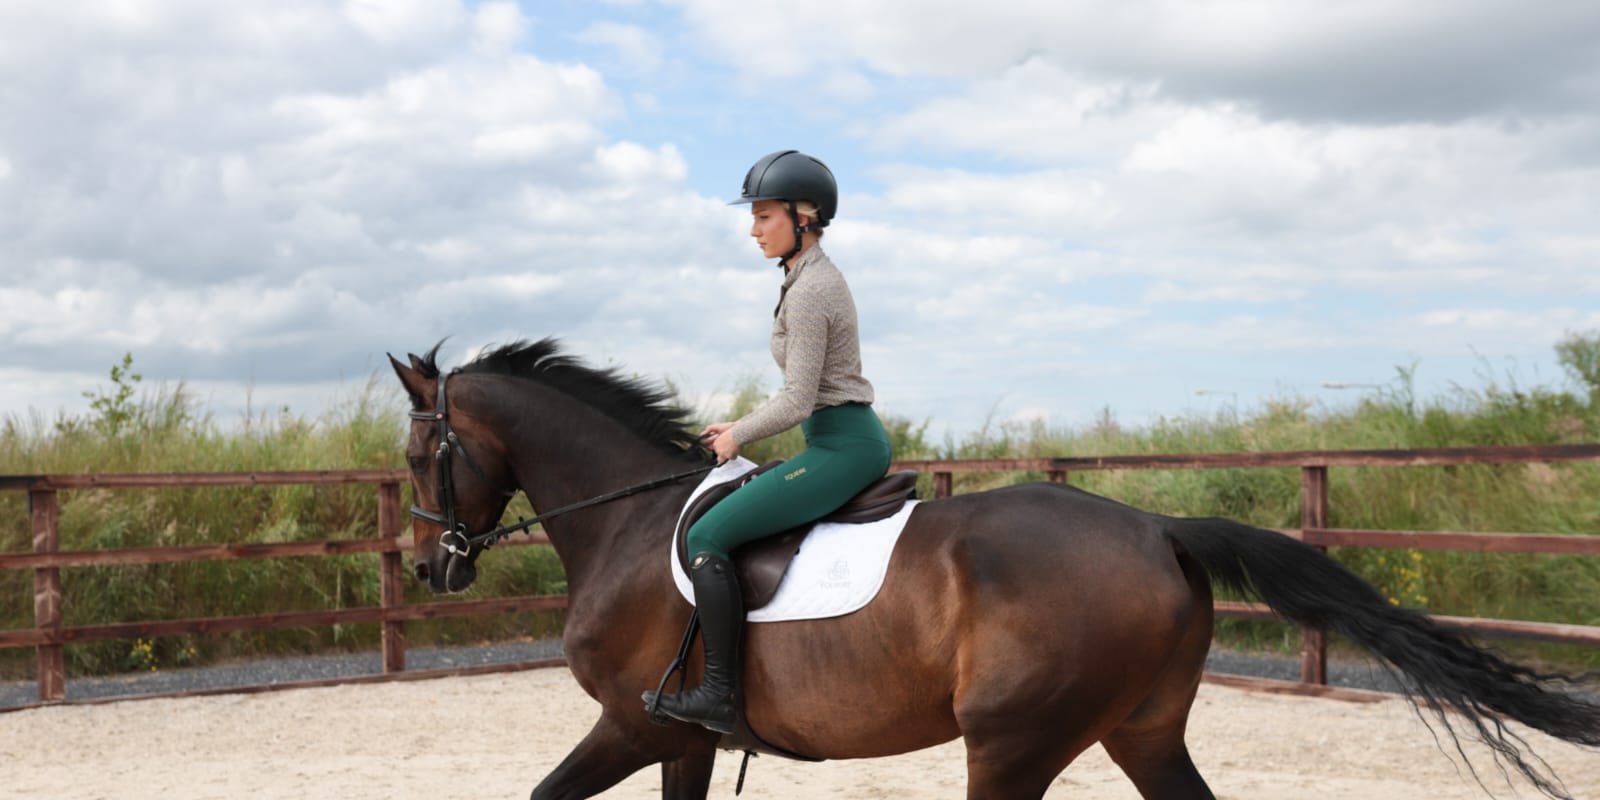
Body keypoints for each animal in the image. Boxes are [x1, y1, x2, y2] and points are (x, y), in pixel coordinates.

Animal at [390, 339, 1600, 800]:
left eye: (414, 454)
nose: (433, 566)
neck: (632, 525)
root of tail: (1155, 526)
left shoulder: (638, 725)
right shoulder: (682, 742)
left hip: (1014, 741)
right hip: (1141, 728)